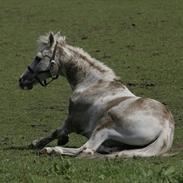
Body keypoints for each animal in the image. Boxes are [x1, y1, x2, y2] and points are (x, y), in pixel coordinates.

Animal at [18, 31, 174, 157]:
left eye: (38, 58)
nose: (21, 80)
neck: (92, 83)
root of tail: (166, 126)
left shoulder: (72, 120)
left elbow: (57, 131)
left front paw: (37, 143)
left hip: (104, 126)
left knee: (87, 149)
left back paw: (52, 150)